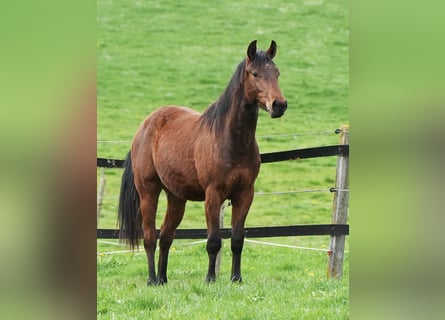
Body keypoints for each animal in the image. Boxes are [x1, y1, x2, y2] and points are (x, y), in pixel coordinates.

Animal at [116, 40, 286, 284]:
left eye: (277, 73)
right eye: (255, 73)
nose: (279, 105)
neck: (230, 140)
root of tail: (144, 127)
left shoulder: (245, 194)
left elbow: (237, 239)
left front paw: (236, 278)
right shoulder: (213, 195)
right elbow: (213, 240)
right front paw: (210, 279)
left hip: (176, 198)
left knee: (166, 237)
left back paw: (163, 280)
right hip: (148, 191)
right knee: (149, 237)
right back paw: (151, 280)